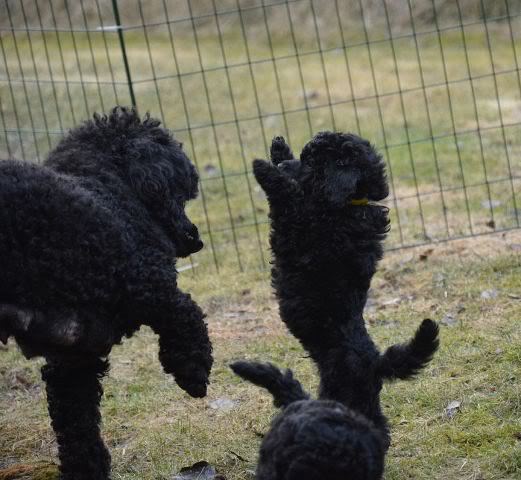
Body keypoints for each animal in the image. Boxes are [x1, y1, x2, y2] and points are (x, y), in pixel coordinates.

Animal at [0, 109, 211, 480]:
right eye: (180, 193)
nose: (195, 239)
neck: (110, 189)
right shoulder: (149, 286)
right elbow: (187, 314)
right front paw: (194, 371)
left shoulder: (73, 356)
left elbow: (76, 421)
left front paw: (87, 468)